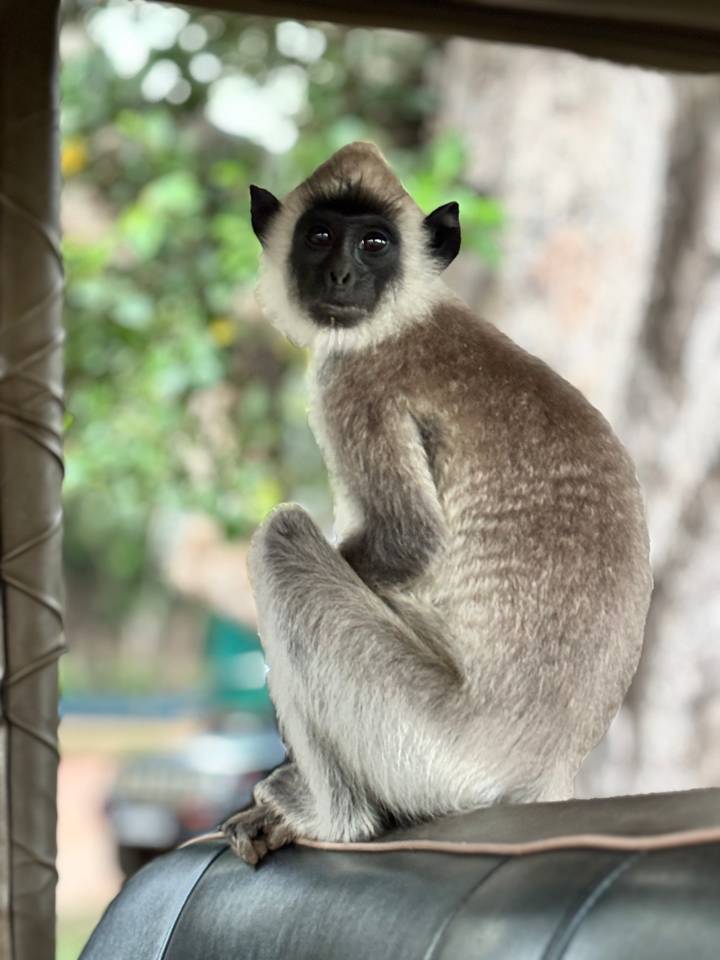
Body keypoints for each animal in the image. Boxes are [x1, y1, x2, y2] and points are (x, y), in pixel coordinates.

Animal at [220, 141, 652, 865]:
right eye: (318, 236)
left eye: (373, 244)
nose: (340, 273)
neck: (412, 312)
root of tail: (546, 769)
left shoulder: (353, 383)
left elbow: (406, 541)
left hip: (423, 742)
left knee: (282, 536)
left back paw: (332, 819)